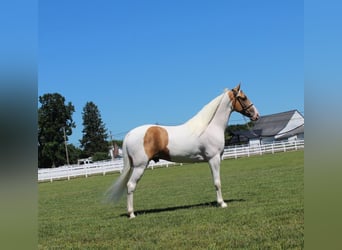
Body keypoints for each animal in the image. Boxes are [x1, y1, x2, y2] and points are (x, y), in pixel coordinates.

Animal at [105, 83, 258, 218]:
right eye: (244, 97)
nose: (256, 114)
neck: (209, 126)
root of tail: (130, 134)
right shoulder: (213, 159)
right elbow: (217, 182)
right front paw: (222, 203)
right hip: (139, 166)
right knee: (130, 186)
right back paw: (131, 214)